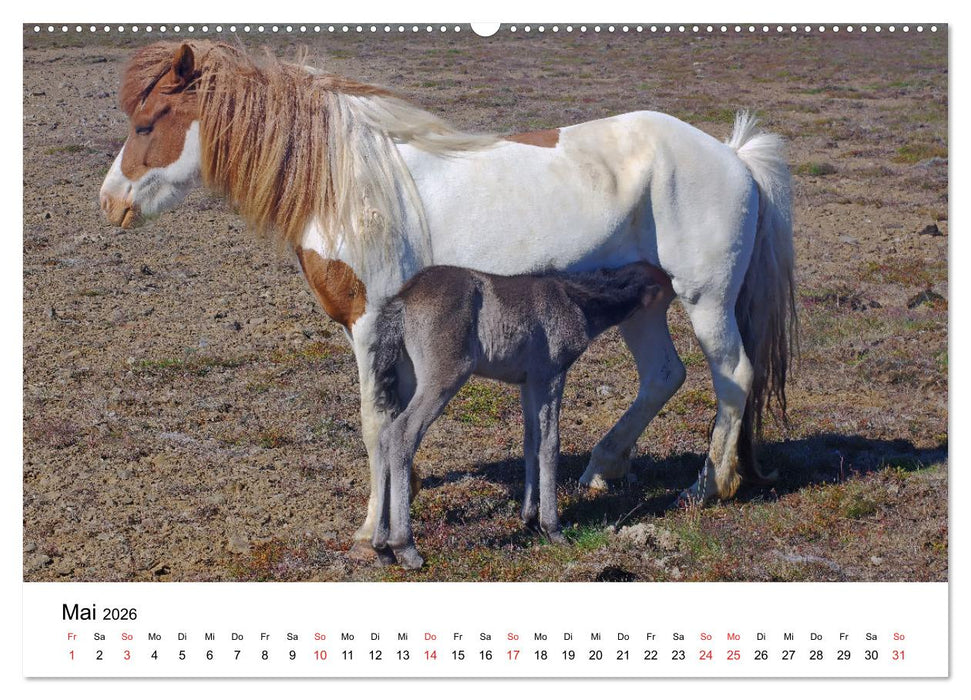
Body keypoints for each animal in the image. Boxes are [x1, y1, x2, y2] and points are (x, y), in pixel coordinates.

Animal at [369, 262, 667, 569]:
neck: (574, 298)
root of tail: (403, 299)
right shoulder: (549, 375)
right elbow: (549, 444)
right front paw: (552, 527)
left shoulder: (527, 383)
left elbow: (530, 441)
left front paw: (530, 517)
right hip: (443, 379)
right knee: (402, 435)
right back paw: (405, 546)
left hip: (406, 382)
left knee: (383, 438)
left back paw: (381, 546)